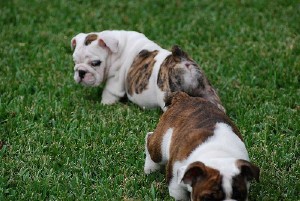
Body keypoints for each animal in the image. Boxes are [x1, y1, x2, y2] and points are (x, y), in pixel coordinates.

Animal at [71, 30, 225, 111]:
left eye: (95, 63)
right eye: (75, 61)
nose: (80, 72)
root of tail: (182, 61)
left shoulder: (114, 80)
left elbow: (109, 94)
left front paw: (104, 105)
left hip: (168, 97)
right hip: (206, 90)